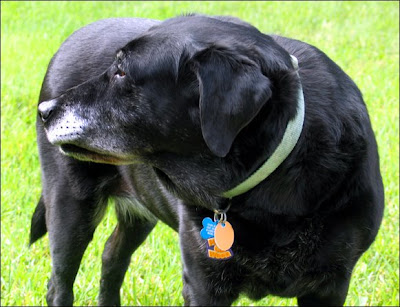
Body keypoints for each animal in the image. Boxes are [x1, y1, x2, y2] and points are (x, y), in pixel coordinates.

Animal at [31, 15, 384, 306]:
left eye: (121, 72)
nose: (44, 111)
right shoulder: (203, 285)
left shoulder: (330, 286)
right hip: (69, 206)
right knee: (59, 286)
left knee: (111, 257)